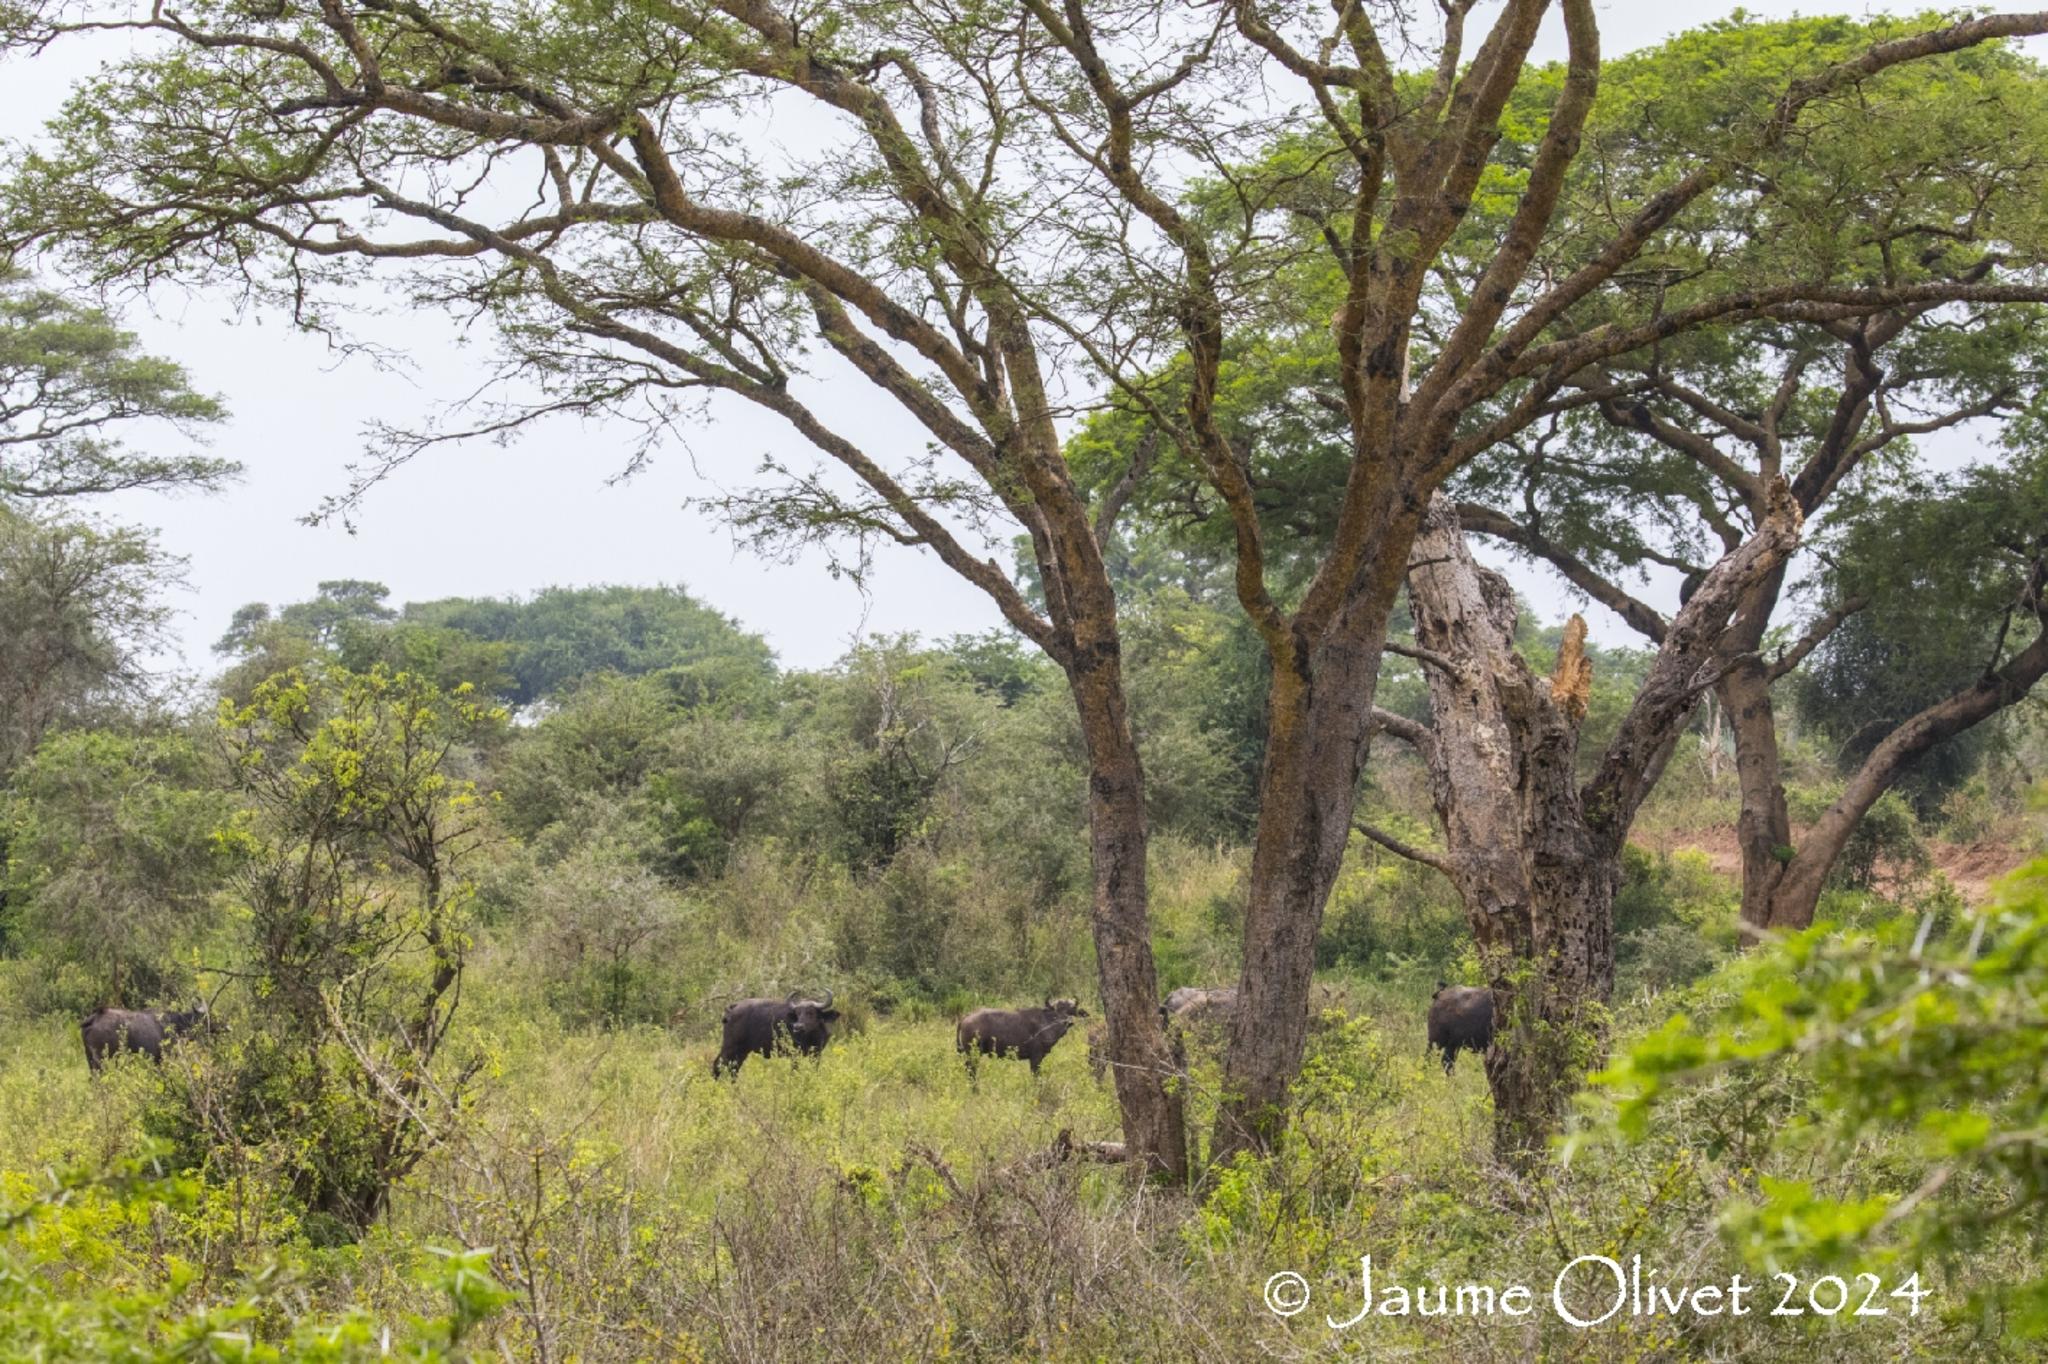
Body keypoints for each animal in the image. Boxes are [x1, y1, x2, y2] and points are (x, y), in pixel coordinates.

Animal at [82, 999, 219, 1073]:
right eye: (208, 1018)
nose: (221, 1028)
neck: (173, 1023)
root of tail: (94, 1018)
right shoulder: (159, 1060)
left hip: (90, 1060)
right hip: (101, 1061)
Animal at [958, 995, 1089, 1081]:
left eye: (1072, 1009)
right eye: (1055, 1011)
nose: (1068, 1022)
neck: (1046, 1024)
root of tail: (966, 1017)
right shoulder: (1035, 1058)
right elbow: (1036, 1077)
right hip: (973, 1054)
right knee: (971, 1071)